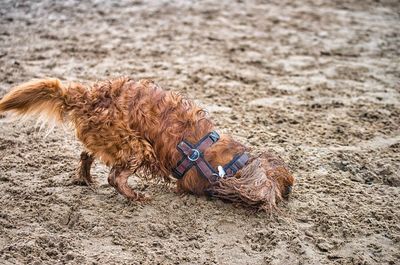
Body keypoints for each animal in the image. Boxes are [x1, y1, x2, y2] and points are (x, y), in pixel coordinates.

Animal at [0, 77, 294, 210]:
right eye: (280, 188)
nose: (290, 191)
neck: (230, 166)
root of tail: (87, 96)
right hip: (137, 146)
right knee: (115, 177)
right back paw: (137, 196)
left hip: (107, 140)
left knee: (87, 154)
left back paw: (85, 179)